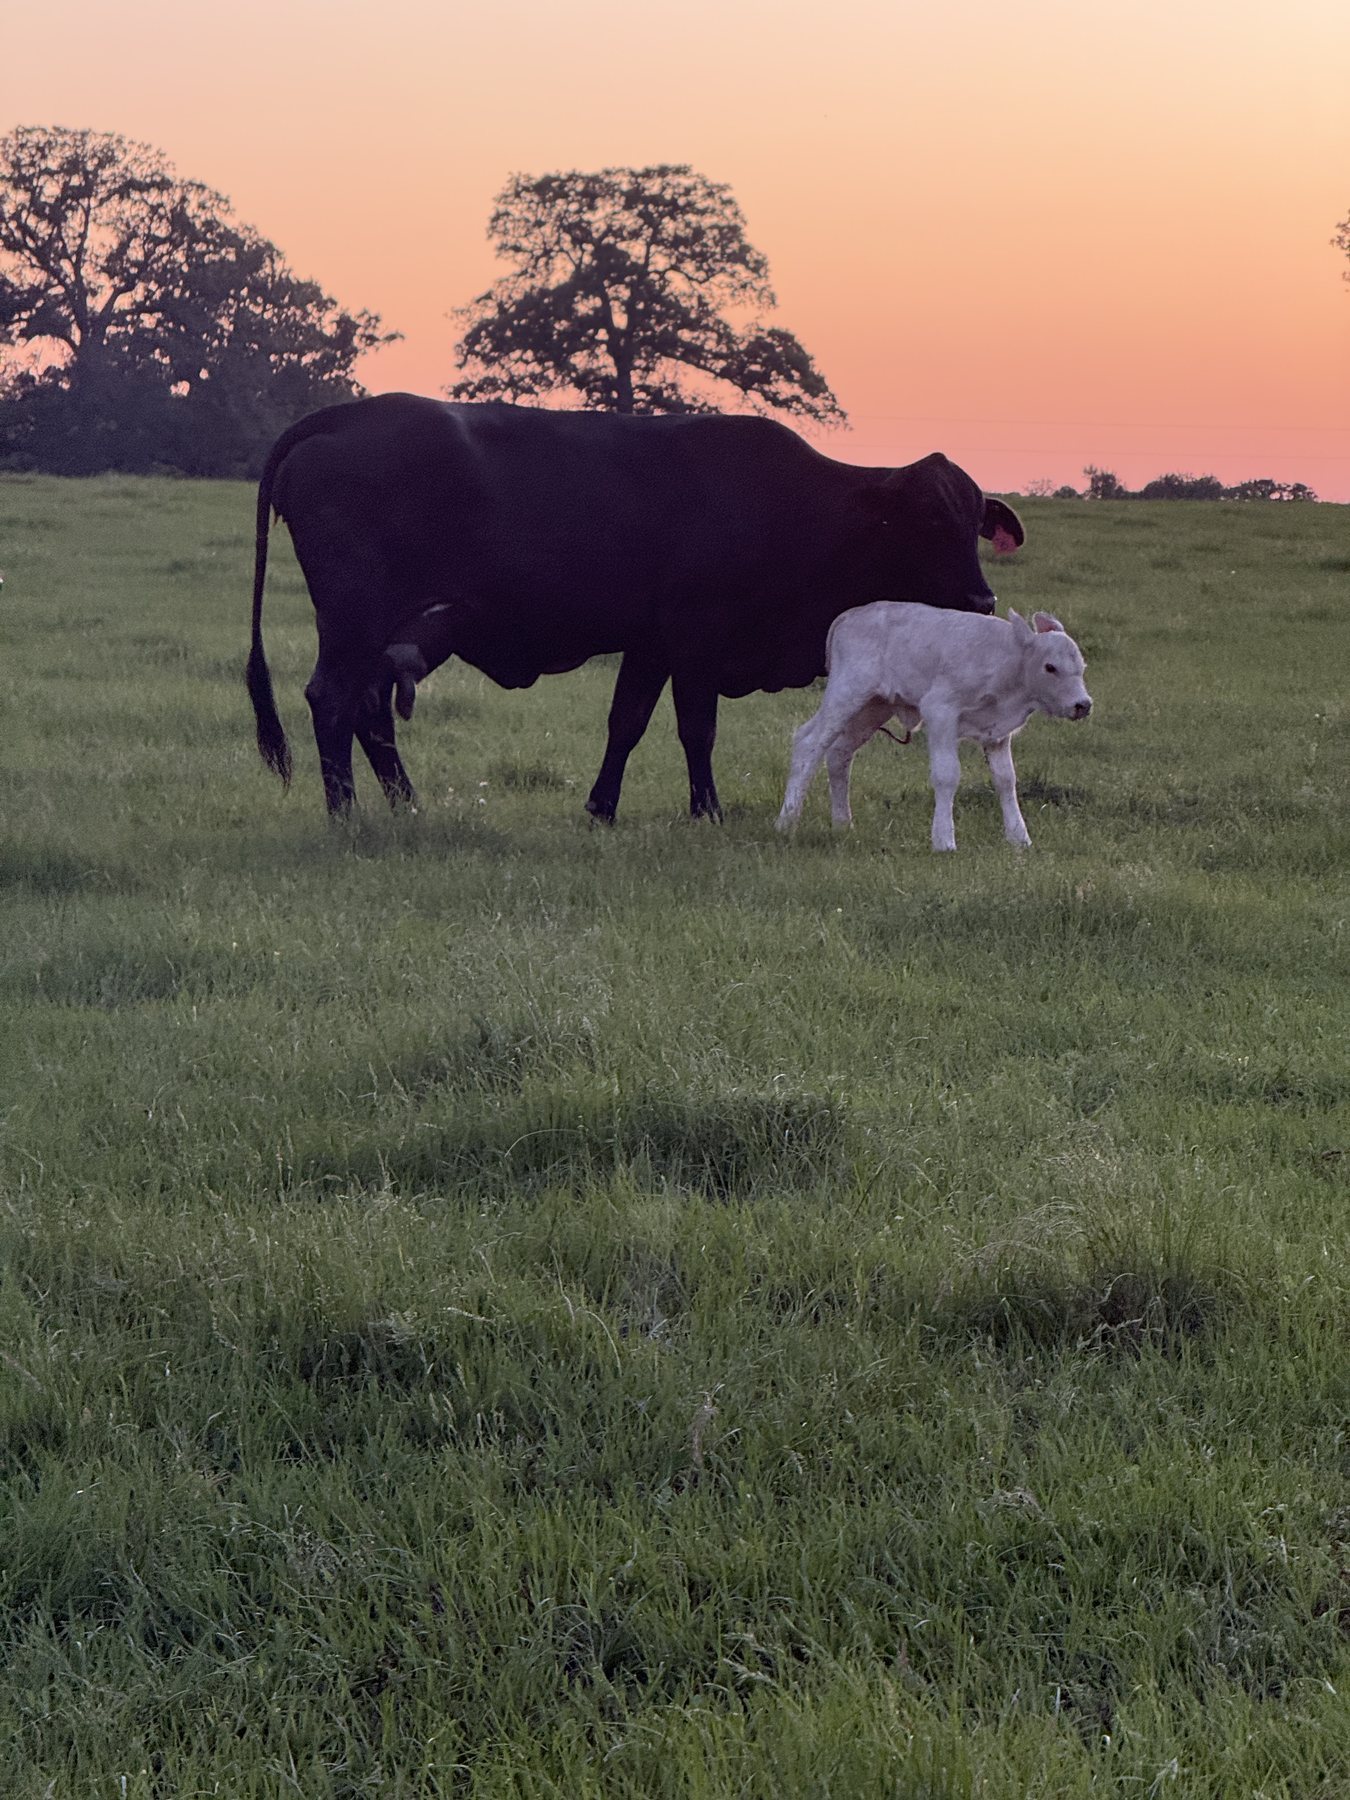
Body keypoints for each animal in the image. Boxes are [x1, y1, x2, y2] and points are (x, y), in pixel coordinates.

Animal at [245, 394, 1024, 819]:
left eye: (972, 521)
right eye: (925, 519)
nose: (981, 598)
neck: (803, 510)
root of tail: (340, 417)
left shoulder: (650, 645)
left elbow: (626, 724)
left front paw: (602, 805)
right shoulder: (697, 640)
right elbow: (695, 730)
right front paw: (707, 809)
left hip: (389, 636)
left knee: (370, 711)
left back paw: (404, 806)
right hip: (352, 623)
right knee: (333, 701)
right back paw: (346, 813)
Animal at [776, 603, 1092, 851]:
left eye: (1082, 666)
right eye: (1050, 667)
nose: (1083, 705)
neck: (1009, 660)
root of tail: (850, 615)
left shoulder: (997, 733)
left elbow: (1006, 780)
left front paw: (1019, 838)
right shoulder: (940, 710)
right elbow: (947, 775)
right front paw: (944, 840)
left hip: (874, 707)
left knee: (839, 752)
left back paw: (843, 824)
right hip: (847, 692)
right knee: (809, 742)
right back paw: (786, 822)